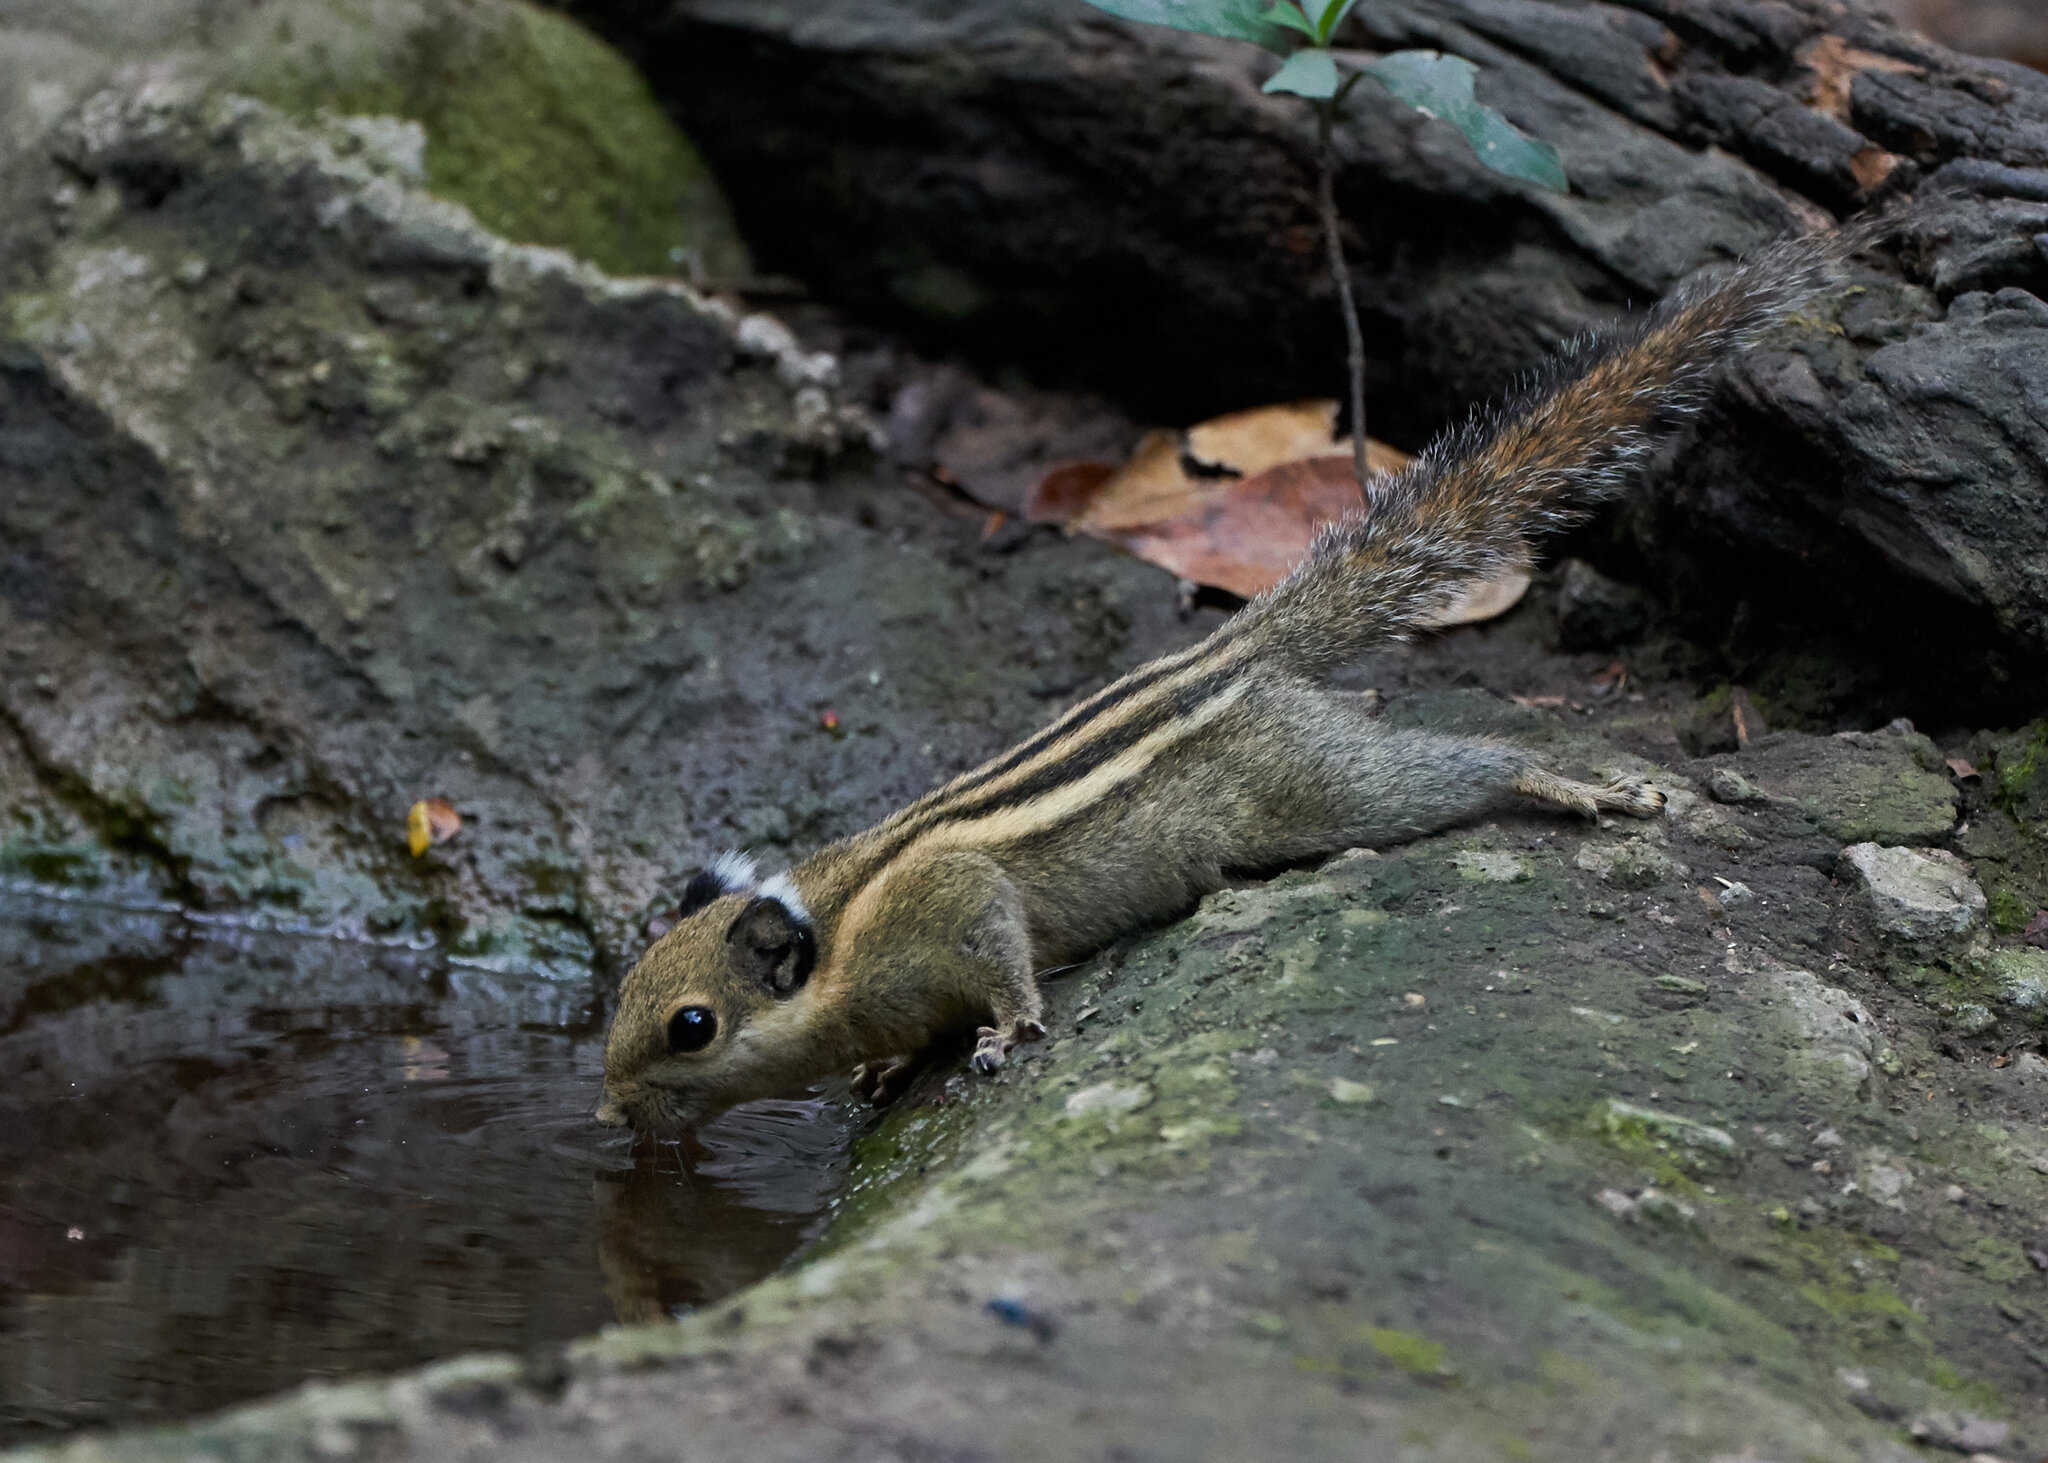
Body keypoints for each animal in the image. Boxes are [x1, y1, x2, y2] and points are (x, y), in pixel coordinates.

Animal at [598, 233, 1859, 1131]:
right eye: (618, 995)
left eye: (690, 1025)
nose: (609, 1108)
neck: (840, 938)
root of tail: (1237, 650)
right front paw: (889, 1066)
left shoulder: (947, 899)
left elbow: (998, 949)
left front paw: (1003, 1033)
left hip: (1318, 787)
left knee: (1458, 767)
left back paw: (1572, 786)